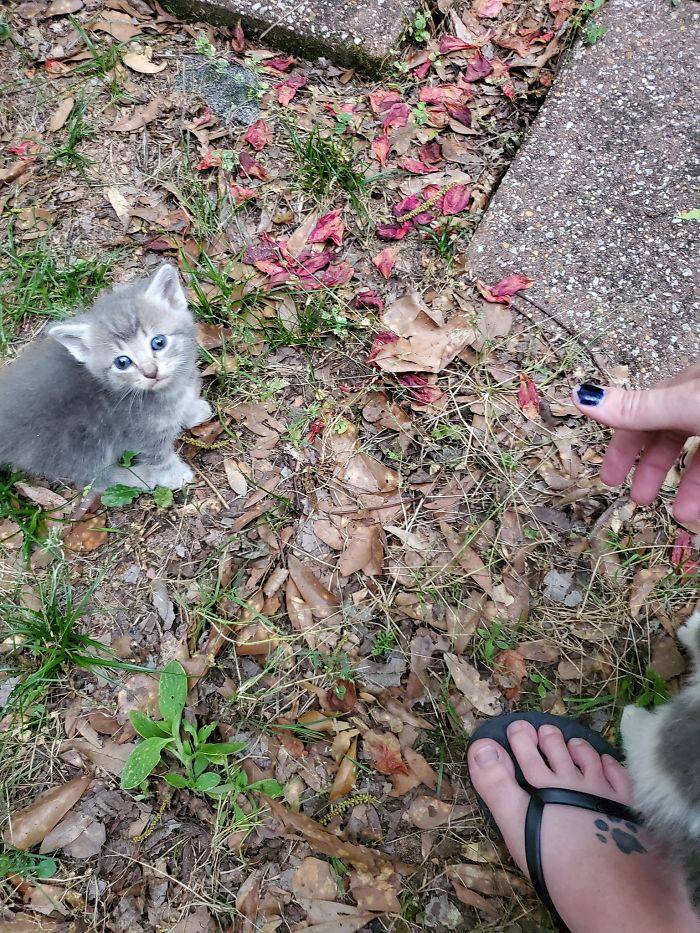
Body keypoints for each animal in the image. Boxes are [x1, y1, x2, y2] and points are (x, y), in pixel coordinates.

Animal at [0, 262, 211, 492]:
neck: (170, 390)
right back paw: (138, 478)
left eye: (158, 342)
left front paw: (192, 411)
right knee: (93, 479)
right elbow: (158, 457)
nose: (151, 372)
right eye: (122, 362)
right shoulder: (141, 434)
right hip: (84, 444)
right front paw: (174, 475)